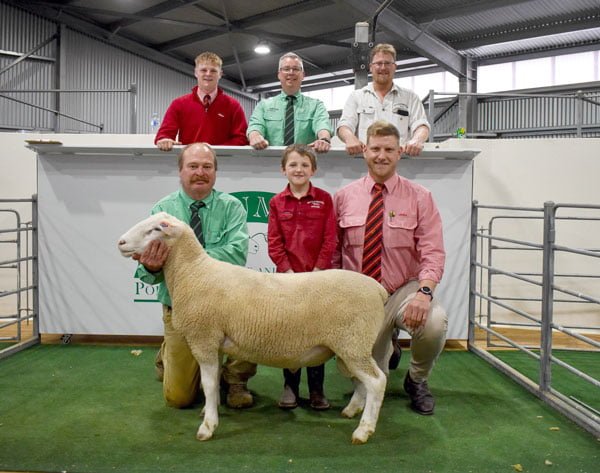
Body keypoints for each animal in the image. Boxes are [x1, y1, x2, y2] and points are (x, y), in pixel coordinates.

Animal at [118, 212, 390, 444]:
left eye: (155, 229)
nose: (121, 242)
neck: (193, 272)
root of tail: (378, 289)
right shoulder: (215, 342)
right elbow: (212, 382)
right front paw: (209, 410)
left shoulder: (203, 337)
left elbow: (208, 384)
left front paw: (208, 427)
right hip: (351, 346)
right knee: (362, 382)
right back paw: (352, 411)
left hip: (353, 342)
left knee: (377, 382)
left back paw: (364, 430)